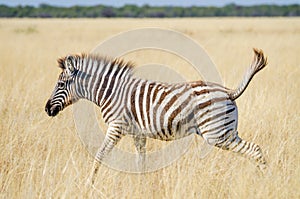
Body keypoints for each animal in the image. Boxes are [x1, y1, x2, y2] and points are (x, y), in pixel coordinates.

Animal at [46, 47, 268, 183]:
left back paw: (265, 180)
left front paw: (89, 183)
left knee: (254, 150)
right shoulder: (137, 132)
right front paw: (141, 184)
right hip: (226, 130)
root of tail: (228, 91)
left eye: (60, 84)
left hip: (217, 134)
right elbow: (141, 161)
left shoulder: (117, 126)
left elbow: (100, 154)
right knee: (254, 150)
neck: (111, 92)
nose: (47, 109)